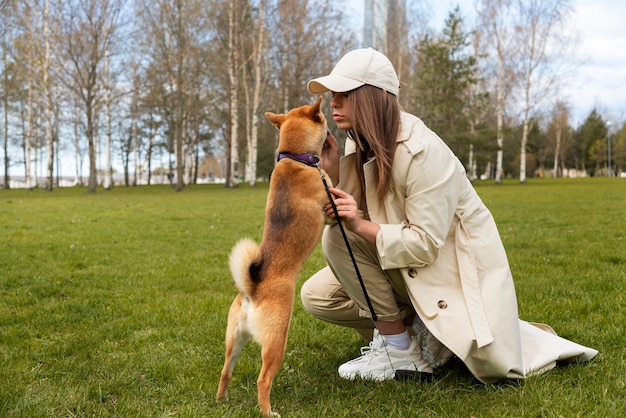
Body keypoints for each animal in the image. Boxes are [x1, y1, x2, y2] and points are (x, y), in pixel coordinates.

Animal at [216, 96, 332, 416]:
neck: (294, 158)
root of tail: (251, 292)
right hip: (276, 342)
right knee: (263, 380)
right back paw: (268, 411)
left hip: (234, 340)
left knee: (225, 371)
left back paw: (220, 400)